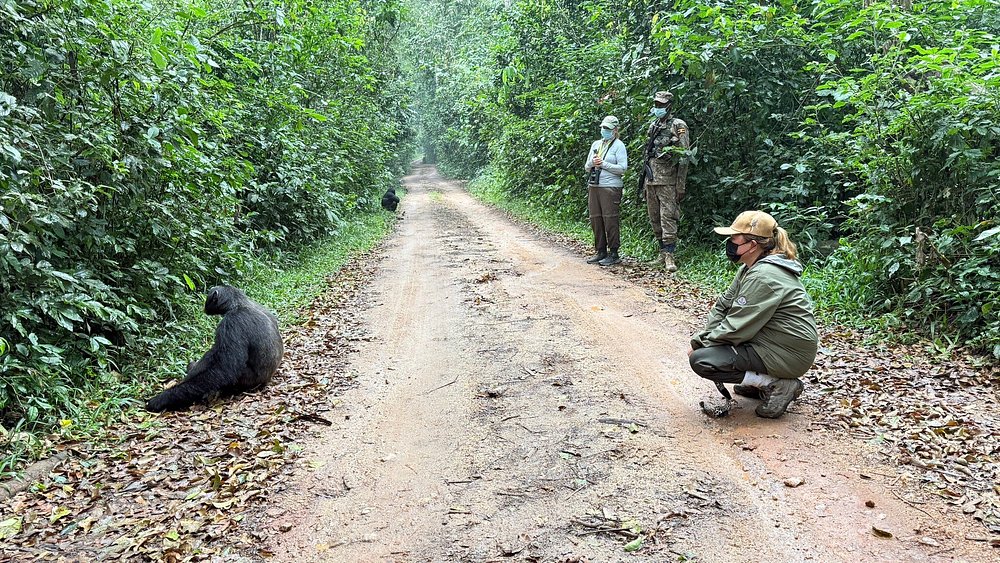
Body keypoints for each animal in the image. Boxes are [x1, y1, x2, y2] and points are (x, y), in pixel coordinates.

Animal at [146, 286, 283, 412]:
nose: (204, 305)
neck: (237, 304)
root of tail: (266, 381)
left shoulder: (231, 324)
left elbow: (224, 369)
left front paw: (161, 400)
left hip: (245, 380)